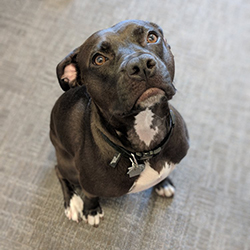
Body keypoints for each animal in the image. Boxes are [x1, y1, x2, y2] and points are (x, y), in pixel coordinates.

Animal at [49, 19, 188, 227]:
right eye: (99, 59)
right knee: (59, 172)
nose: (141, 64)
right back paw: (73, 202)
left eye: (152, 37)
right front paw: (91, 210)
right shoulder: (89, 184)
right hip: (67, 162)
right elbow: (91, 195)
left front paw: (163, 183)